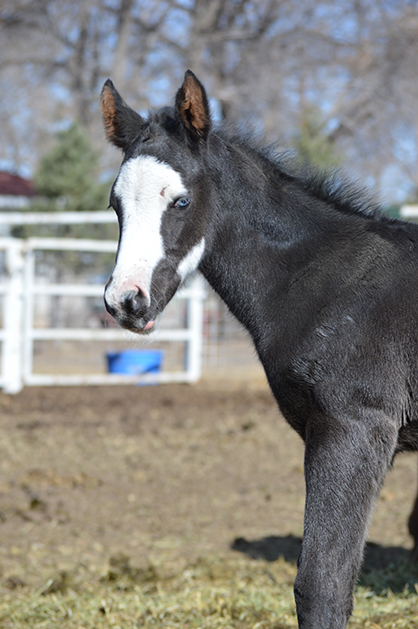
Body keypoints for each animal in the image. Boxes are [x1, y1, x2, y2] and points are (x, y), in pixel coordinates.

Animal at [100, 70, 418, 628]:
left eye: (180, 201)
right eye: (116, 205)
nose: (126, 301)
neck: (324, 280)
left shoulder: (355, 428)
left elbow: (322, 587)